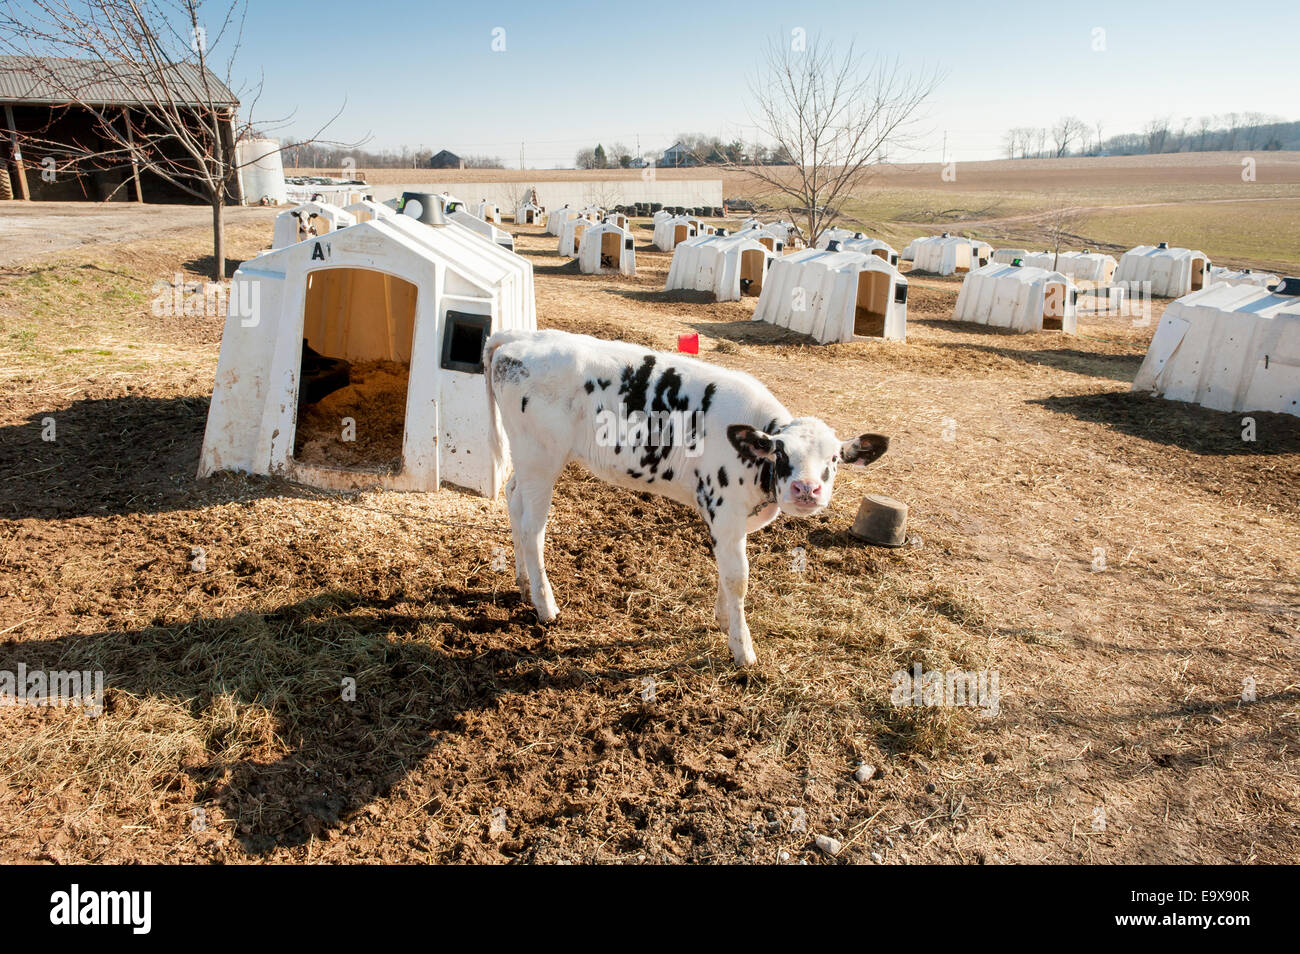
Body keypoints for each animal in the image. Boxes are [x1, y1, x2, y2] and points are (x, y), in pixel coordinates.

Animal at [483, 332, 889, 670]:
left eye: (834, 458)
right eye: (781, 452)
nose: (806, 489)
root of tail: (519, 336)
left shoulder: (734, 522)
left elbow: (726, 573)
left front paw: (723, 621)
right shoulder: (724, 512)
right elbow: (738, 577)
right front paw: (742, 649)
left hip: (527, 462)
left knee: (514, 501)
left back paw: (523, 584)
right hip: (541, 459)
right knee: (533, 529)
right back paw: (546, 605)